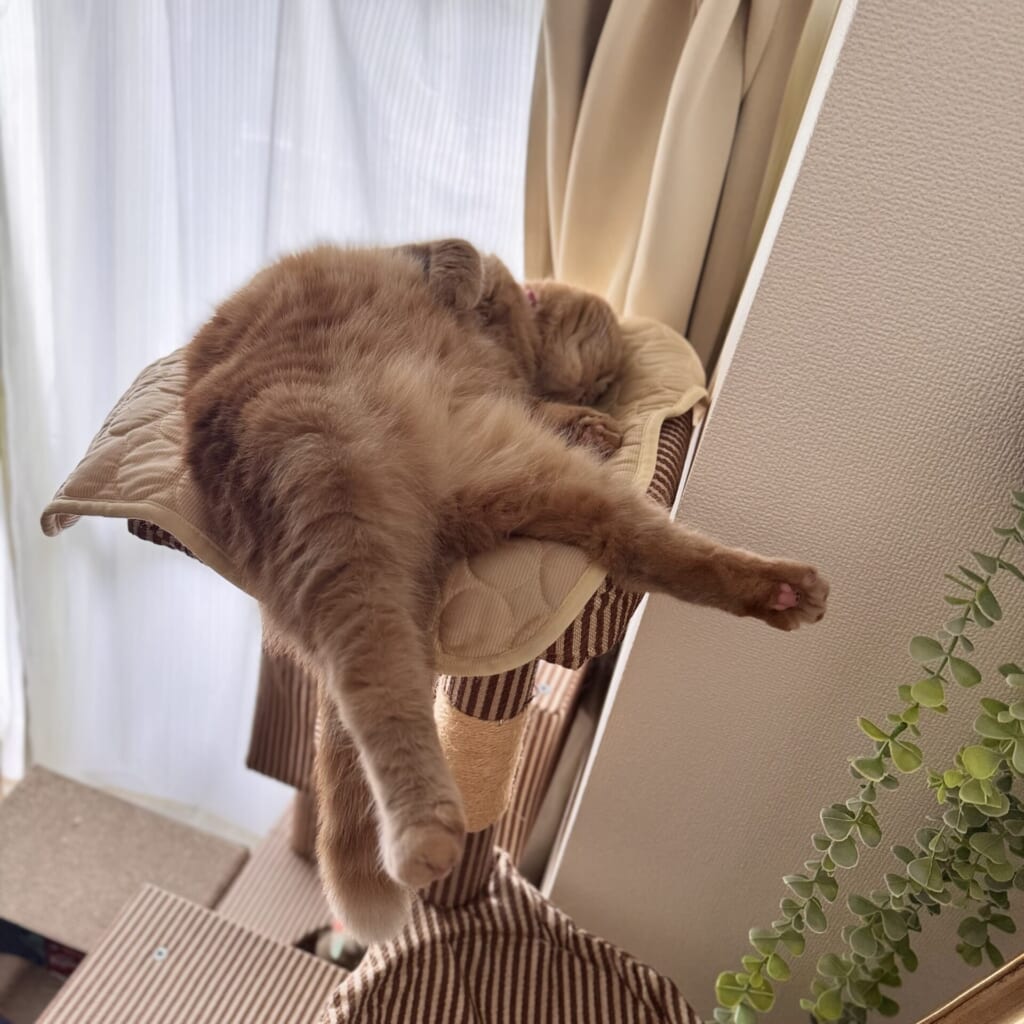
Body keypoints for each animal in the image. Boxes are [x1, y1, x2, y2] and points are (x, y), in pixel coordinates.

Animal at [183, 239, 828, 941]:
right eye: (606, 372)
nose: (599, 393)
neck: (510, 340)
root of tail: (433, 508)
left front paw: (590, 422)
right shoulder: (431, 254)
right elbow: (458, 254)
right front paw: (473, 297)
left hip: (498, 488)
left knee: (654, 554)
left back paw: (783, 591)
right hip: (332, 493)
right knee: (378, 686)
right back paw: (425, 834)